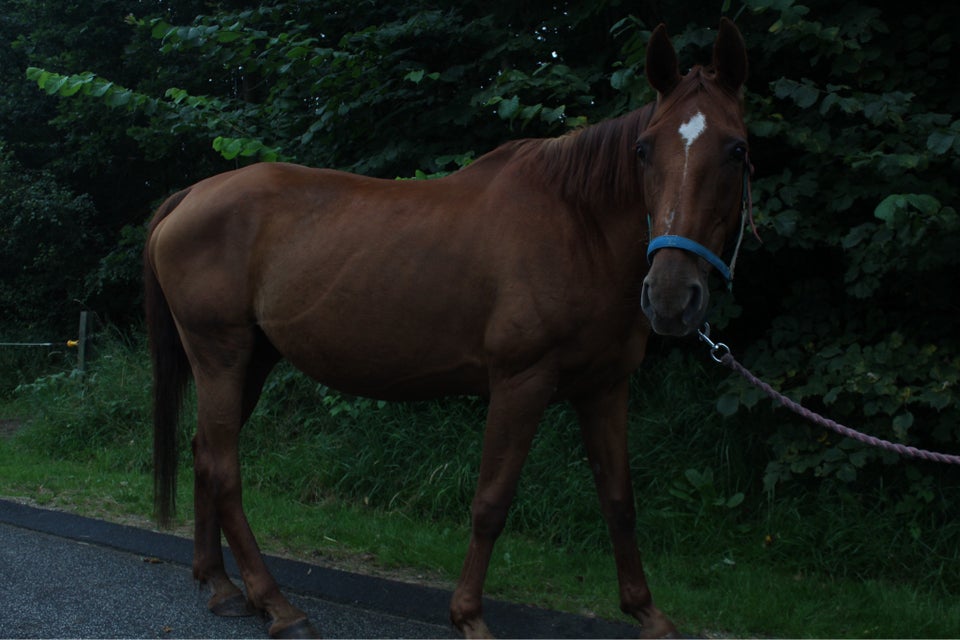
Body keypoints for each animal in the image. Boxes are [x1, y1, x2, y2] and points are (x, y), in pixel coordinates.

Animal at [146, 20, 752, 640]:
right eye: (643, 150)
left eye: (737, 150)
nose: (672, 295)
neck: (575, 226)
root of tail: (191, 194)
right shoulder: (521, 383)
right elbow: (491, 502)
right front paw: (468, 616)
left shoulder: (604, 388)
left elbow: (619, 502)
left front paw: (647, 613)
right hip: (220, 355)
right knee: (224, 468)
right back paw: (278, 605)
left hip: (253, 361)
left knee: (203, 453)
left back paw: (221, 585)